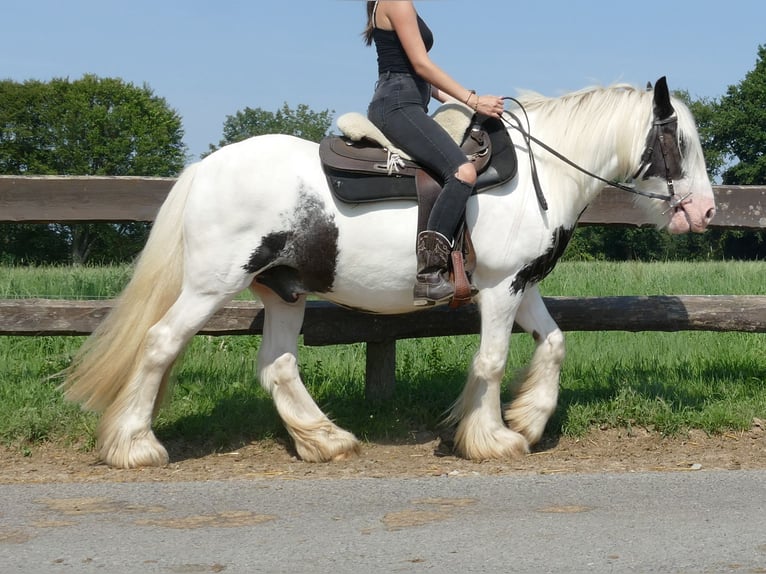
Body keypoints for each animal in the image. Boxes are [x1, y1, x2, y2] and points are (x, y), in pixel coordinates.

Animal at [61, 76, 720, 470]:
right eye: (682, 142)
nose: (707, 212)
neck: (542, 172)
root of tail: (205, 168)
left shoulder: (520, 284)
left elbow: (554, 344)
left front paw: (528, 420)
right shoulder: (500, 287)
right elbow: (491, 361)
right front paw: (491, 438)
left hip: (283, 291)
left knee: (277, 366)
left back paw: (325, 440)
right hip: (208, 286)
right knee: (159, 344)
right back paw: (135, 446)